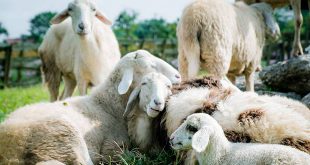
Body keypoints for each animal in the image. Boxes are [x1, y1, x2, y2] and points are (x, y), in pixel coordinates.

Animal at [0, 50, 182, 165]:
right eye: (151, 66)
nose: (179, 76)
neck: (109, 105)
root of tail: (9, 154)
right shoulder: (112, 148)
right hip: (66, 137)